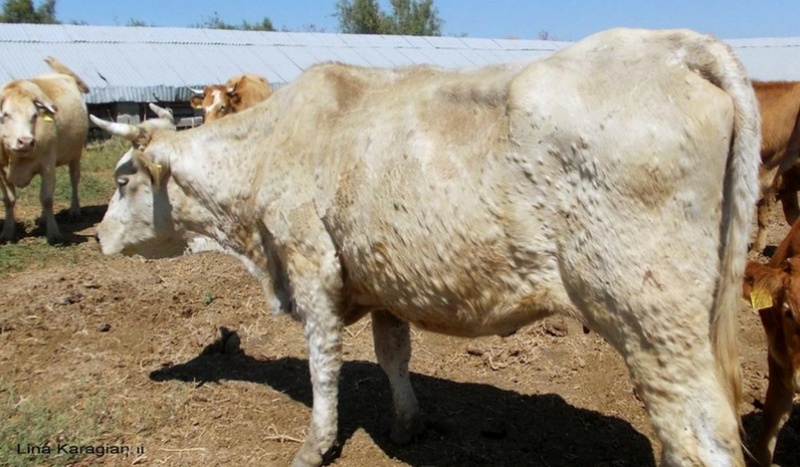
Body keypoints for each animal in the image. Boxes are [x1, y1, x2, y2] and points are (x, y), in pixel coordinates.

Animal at [0, 56, 90, 244]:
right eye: (5, 115)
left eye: (34, 116)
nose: (25, 142)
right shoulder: (1, 171)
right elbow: (9, 200)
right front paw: (8, 232)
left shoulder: (47, 165)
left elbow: (47, 199)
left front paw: (53, 233)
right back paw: (42, 218)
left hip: (75, 154)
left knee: (74, 179)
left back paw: (74, 210)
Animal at [92, 28, 760, 466]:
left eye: (123, 180)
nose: (97, 237)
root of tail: (675, 44)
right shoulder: (380, 276)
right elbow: (393, 354)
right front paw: (407, 424)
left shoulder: (311, 264)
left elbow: (323, 365)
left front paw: (314, 445)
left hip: (654, 322)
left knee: (700, 435)